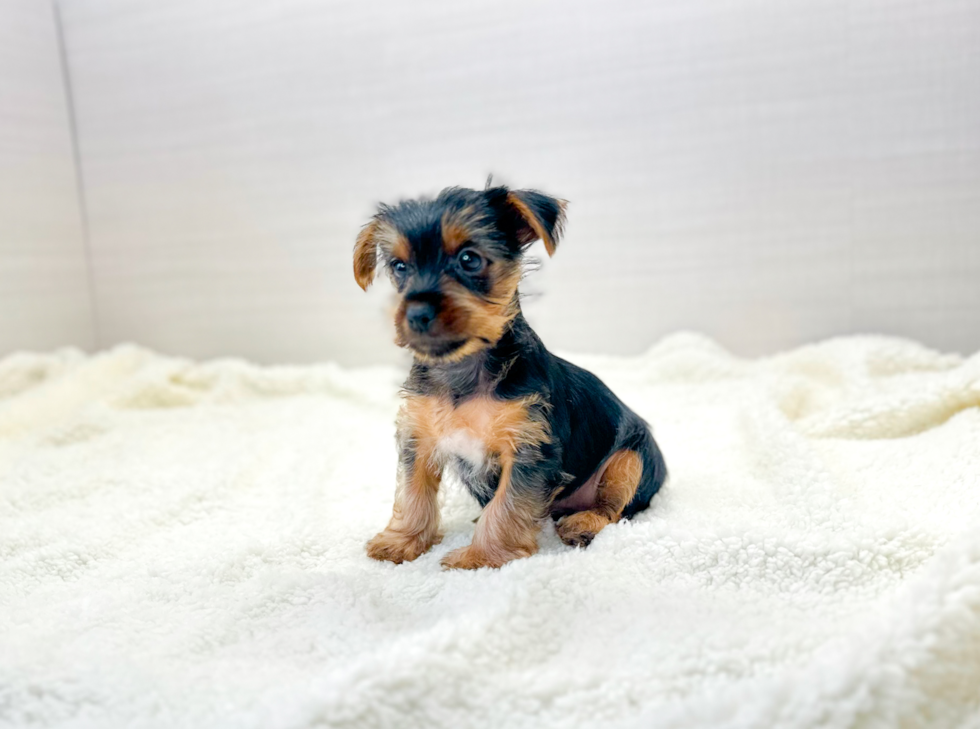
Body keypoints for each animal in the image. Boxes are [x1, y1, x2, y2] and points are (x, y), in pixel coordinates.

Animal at [352, 183, 668, 568]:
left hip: (632, 460)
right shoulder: (419, 439)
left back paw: (583, 523)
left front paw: (481, 556)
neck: (464, 367)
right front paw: (401, 541)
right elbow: (413, 492)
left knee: (614, 508)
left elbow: (507, 505)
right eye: (400, 267)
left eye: (469, 259)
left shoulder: (529, 450)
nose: (417, 313)